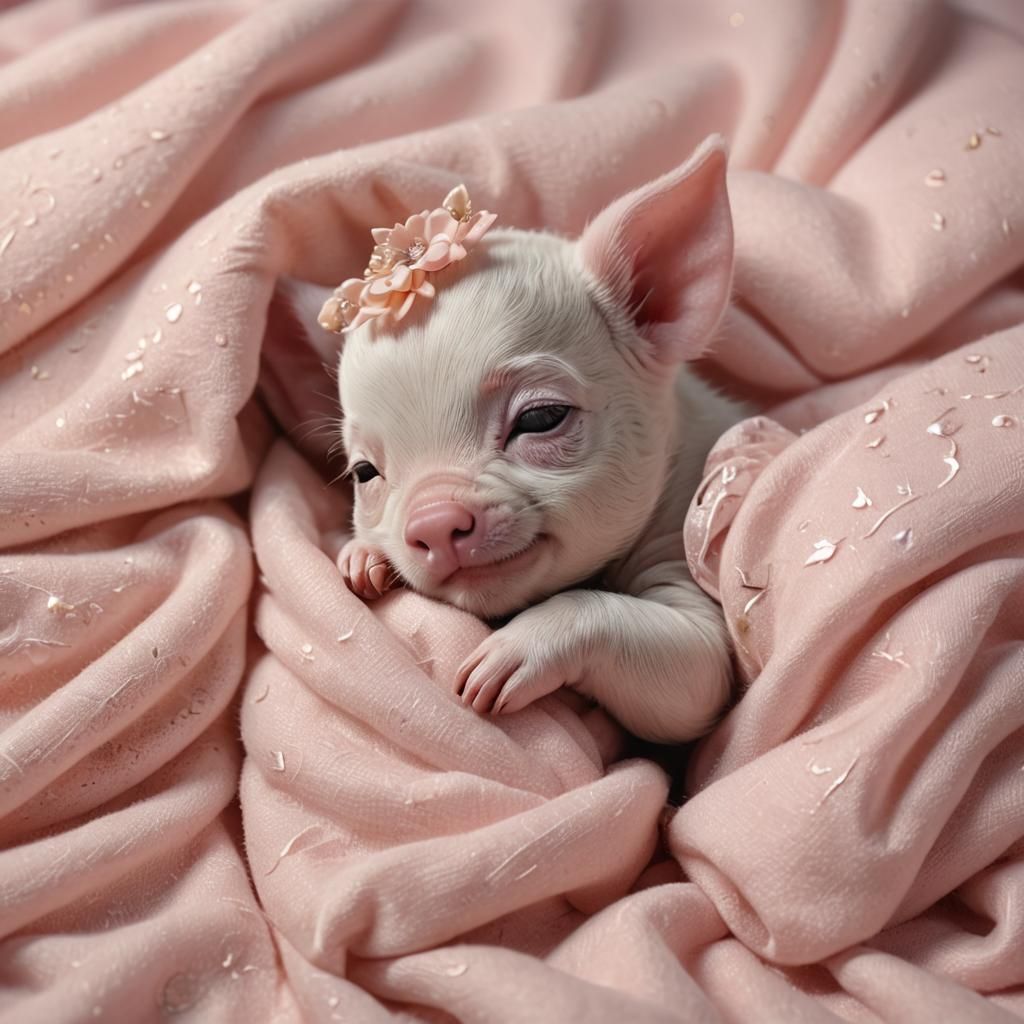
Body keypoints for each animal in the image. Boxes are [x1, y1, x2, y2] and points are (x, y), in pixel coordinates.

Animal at [285, 136, 745, 742]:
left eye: (542, 418)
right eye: (364, 472)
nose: (432, 520)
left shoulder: (684, 547)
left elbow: (694, 681)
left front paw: (488, 674)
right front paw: (361, 563)